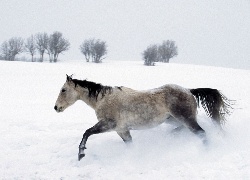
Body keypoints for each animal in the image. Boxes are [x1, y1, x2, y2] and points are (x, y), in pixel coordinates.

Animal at [53, 74, 231, 160]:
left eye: (63, 90)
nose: (56, 107)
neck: (103, 99)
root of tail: (189, 90)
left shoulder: (108, 125)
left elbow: (87, 132)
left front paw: (81, 154)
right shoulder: (122, 130)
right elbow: (130, 145)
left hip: (186, 118)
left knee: (201, 133)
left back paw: (207, 152)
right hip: (173, 119)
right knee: (184, 129)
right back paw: (172, 135)